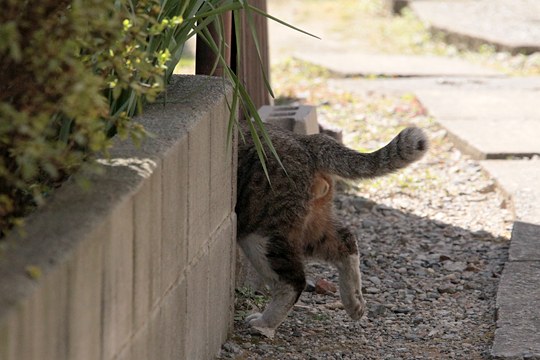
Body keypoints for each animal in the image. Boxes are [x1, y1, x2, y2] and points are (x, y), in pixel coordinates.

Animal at [235, 121, 426, 338]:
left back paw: (263, 324)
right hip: (309, 226)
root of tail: (304, 140)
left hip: (261, 230)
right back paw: (354, 303)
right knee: (346, 242)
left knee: (293, 281)